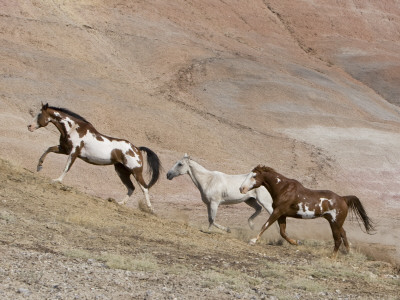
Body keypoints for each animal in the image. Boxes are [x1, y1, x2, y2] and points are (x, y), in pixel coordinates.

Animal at [27, 104, 162, 212]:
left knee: (144, 187)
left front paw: (57, 180)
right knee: (131, 187)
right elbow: (48, 149)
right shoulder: (64, 150)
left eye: (39, 114)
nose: (29, 126)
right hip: (122, 171)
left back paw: (150, 209)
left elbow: (66, 168)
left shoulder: (73, 153)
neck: (73, 129)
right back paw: (120, 203)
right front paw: (39, 166)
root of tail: (137, 149)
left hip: (135, 171)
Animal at [239, 165, 374, 256]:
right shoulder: (282, 215)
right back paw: (348, 252)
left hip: (335, 223)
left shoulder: (277, 211)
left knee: (338, 239)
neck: (283, 189)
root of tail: (343, 198)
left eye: (254, 176)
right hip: (335, 222)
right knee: (344, 234)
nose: (241, 188)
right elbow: (283, 232)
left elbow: (265, 225)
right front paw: (295, 242)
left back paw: (333, 257)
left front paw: (253, 240)